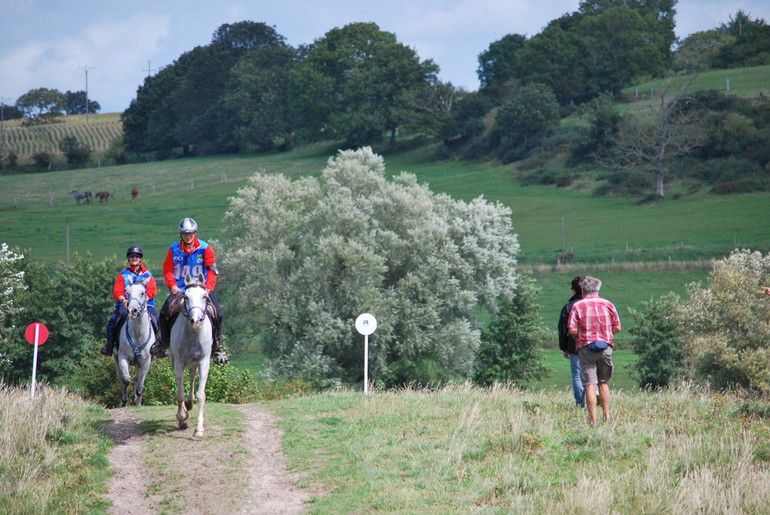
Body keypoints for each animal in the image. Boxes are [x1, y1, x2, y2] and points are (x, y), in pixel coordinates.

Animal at [115, 278, 155, 408]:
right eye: (128, 293)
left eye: (143, 293)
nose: (132, 311)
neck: (138, 334)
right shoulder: (122, 357)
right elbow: (126, 379)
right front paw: (124, 401)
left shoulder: (146, 361)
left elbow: (140, 381)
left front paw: (137, 400)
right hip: (115, 358)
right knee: (121, 377)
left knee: (139, 380)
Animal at [170, 272, 212, 438]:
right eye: (186, 297)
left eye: (204, 296)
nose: (196, 321)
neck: (193, 334)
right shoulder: (178, 363)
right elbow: (179, 392)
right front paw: (182, 417)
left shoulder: (204, 361)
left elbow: (201, 394)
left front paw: (199, 429)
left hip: (195, 362)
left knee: (193, 375)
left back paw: (190, 402)